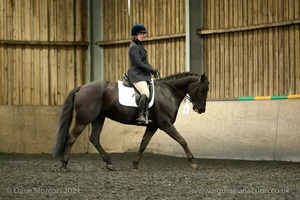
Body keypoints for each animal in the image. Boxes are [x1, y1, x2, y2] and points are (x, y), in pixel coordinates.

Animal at [52, 72, 210, 170]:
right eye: (202, 89)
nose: (201, 109)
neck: (168, 93)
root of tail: (82, 87)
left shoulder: (153, 126)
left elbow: (143, 144)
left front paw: (135, 165)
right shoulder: (166, 124)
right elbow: (182, 140)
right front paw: (194, 162)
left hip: (98, 119)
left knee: (94, 138)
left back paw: (109, 164)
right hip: (83, 120)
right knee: (72, 137)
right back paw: (64, 165)